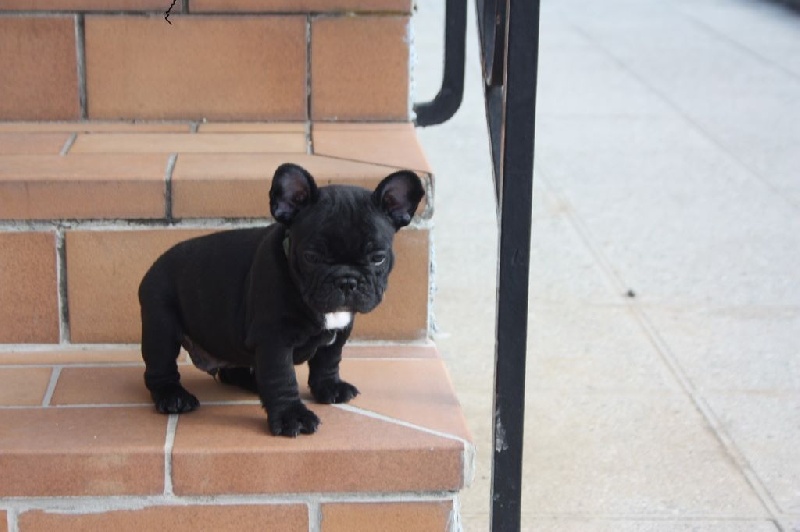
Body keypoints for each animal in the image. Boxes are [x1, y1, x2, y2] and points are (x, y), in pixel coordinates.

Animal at [138, 163, 424, 437]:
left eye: (378, 258)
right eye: (311, 257)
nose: (347, 280)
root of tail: (155, 264)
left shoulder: (340, 331)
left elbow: (328, 360)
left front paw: (329, 387)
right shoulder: (274, 338)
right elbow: (281, 377)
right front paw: (292, 417)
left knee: (233, 368)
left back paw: (251, 382)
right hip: (161, 324)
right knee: (160, 367)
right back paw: (173, 397)